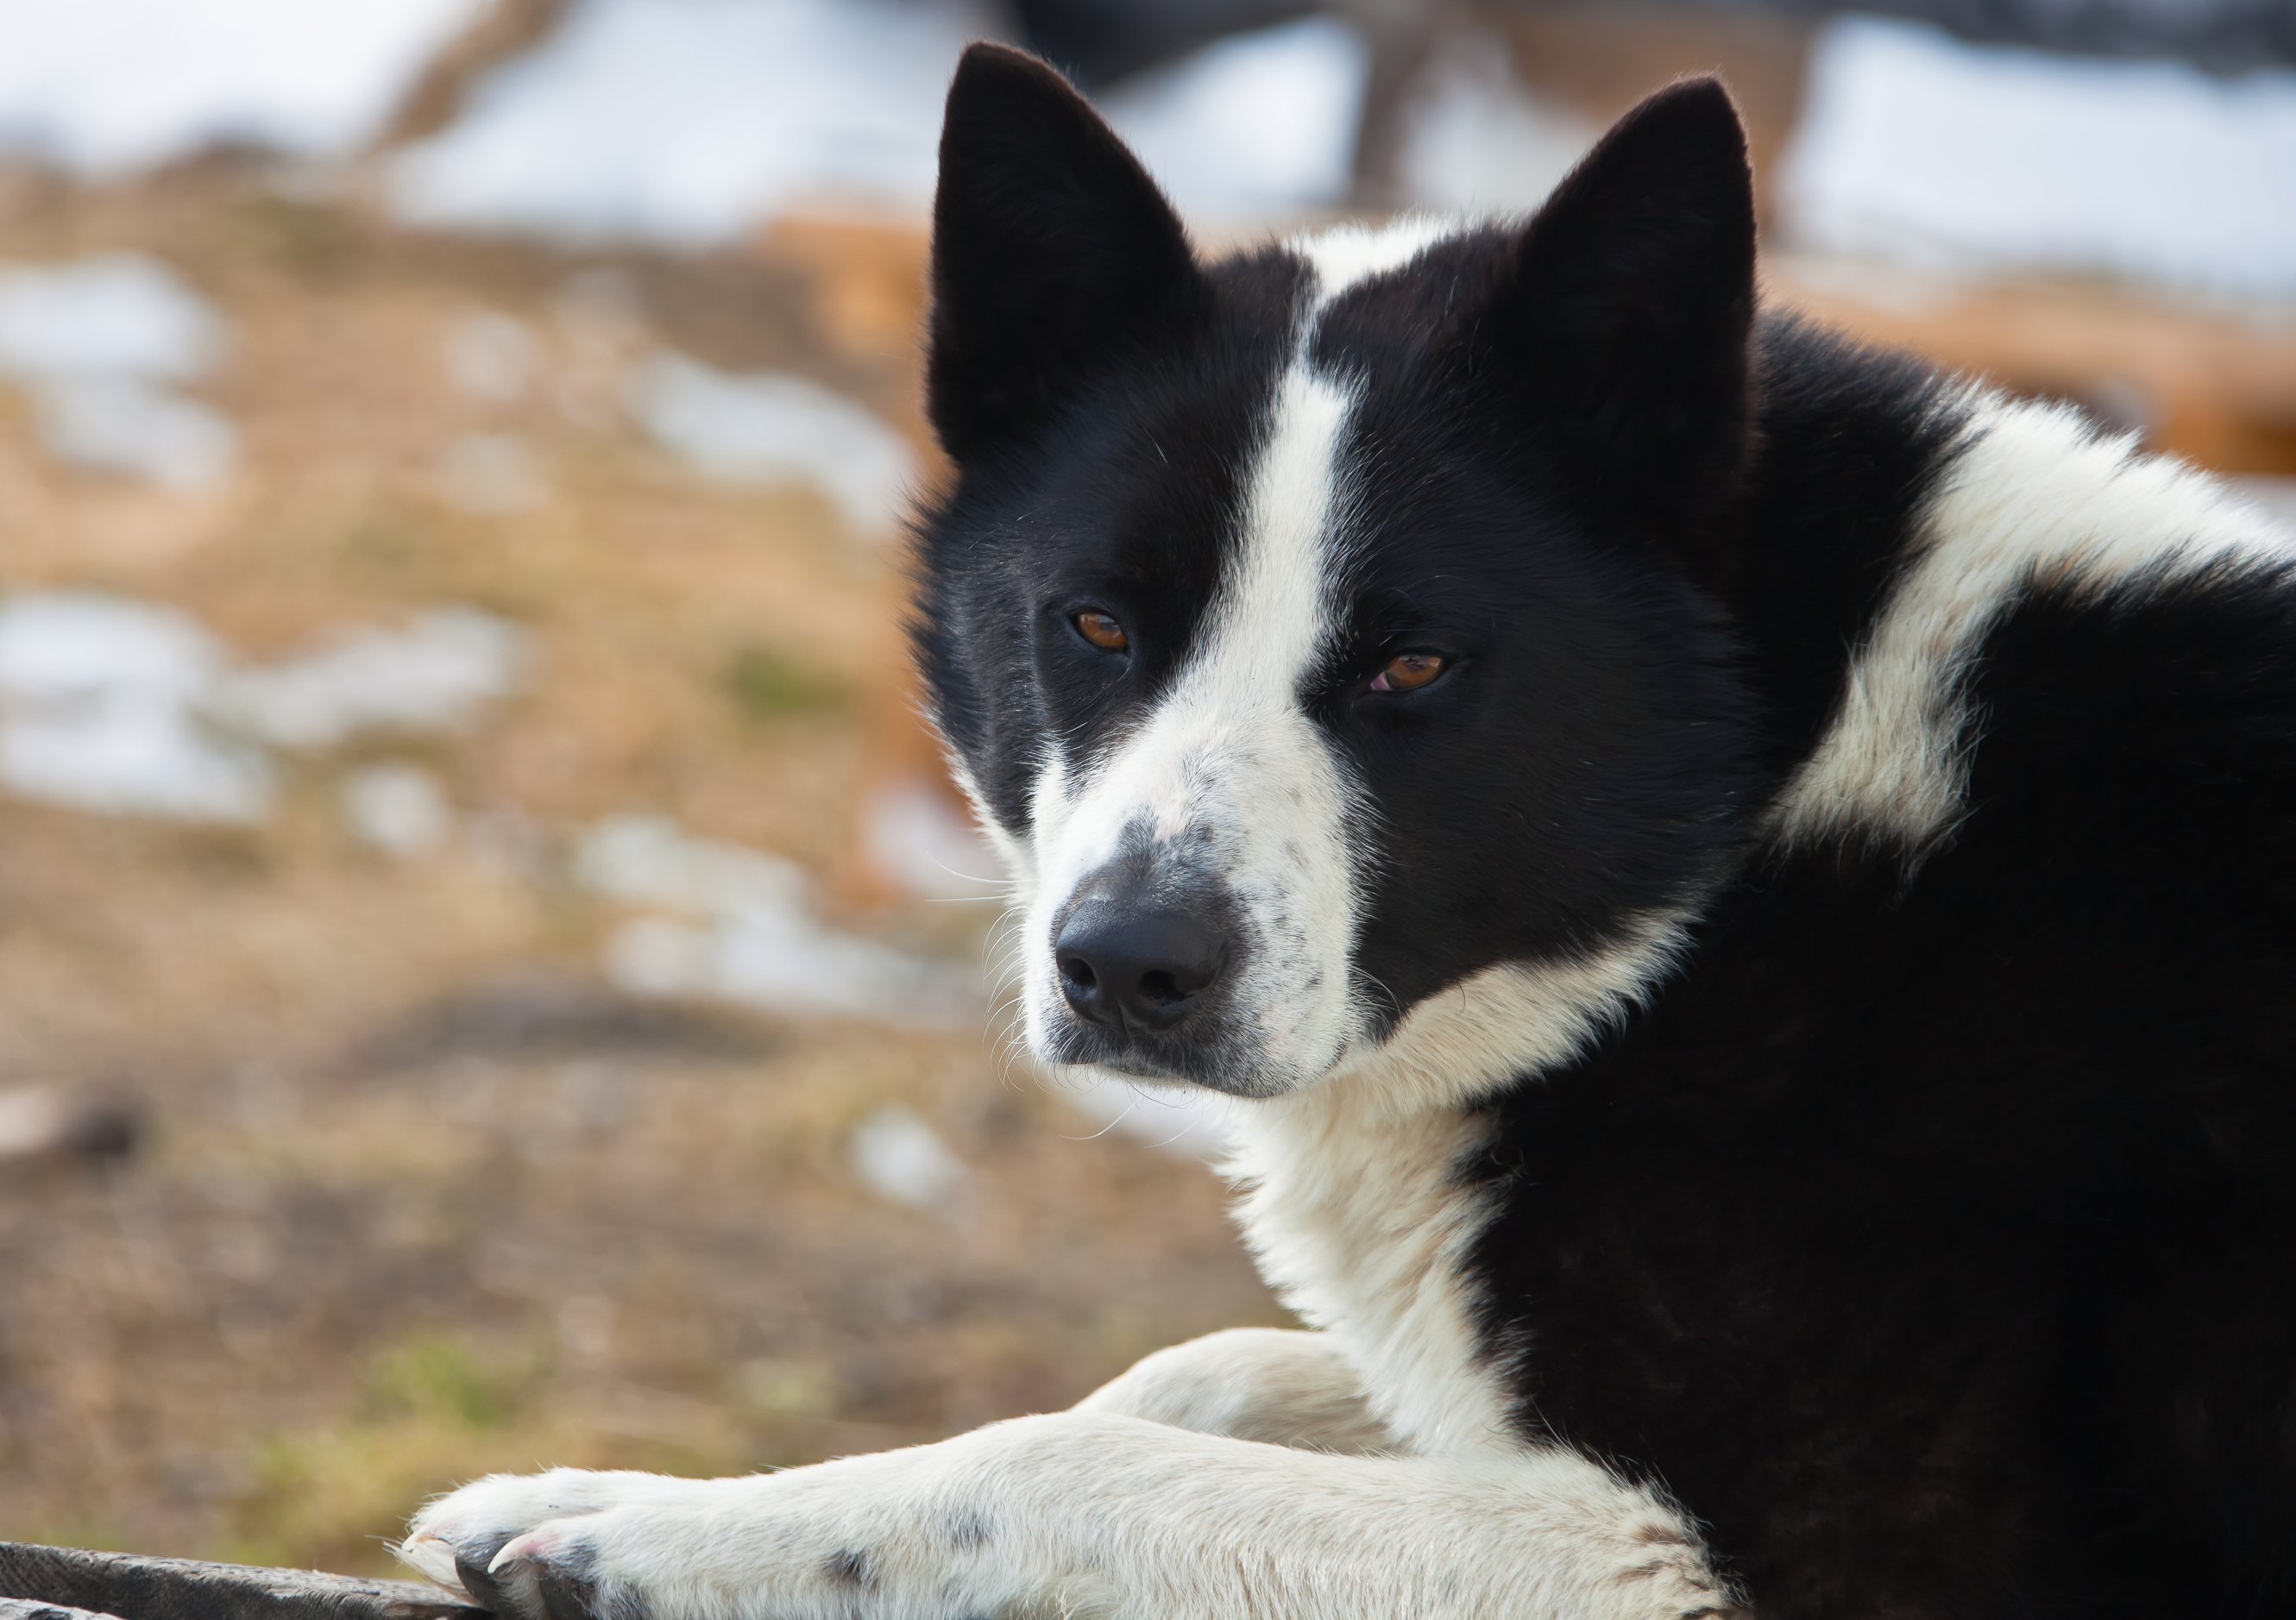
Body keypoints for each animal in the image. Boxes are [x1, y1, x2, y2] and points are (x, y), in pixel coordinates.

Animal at [404, 44, 2296, 1606]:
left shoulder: (1754, 1549)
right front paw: (610, 1492)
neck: (1771, 834)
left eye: (1413, 662)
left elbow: (1068, 1447)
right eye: (1096, 623)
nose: (1124, 969)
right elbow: (1193, 1371)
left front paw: (657, 1532)